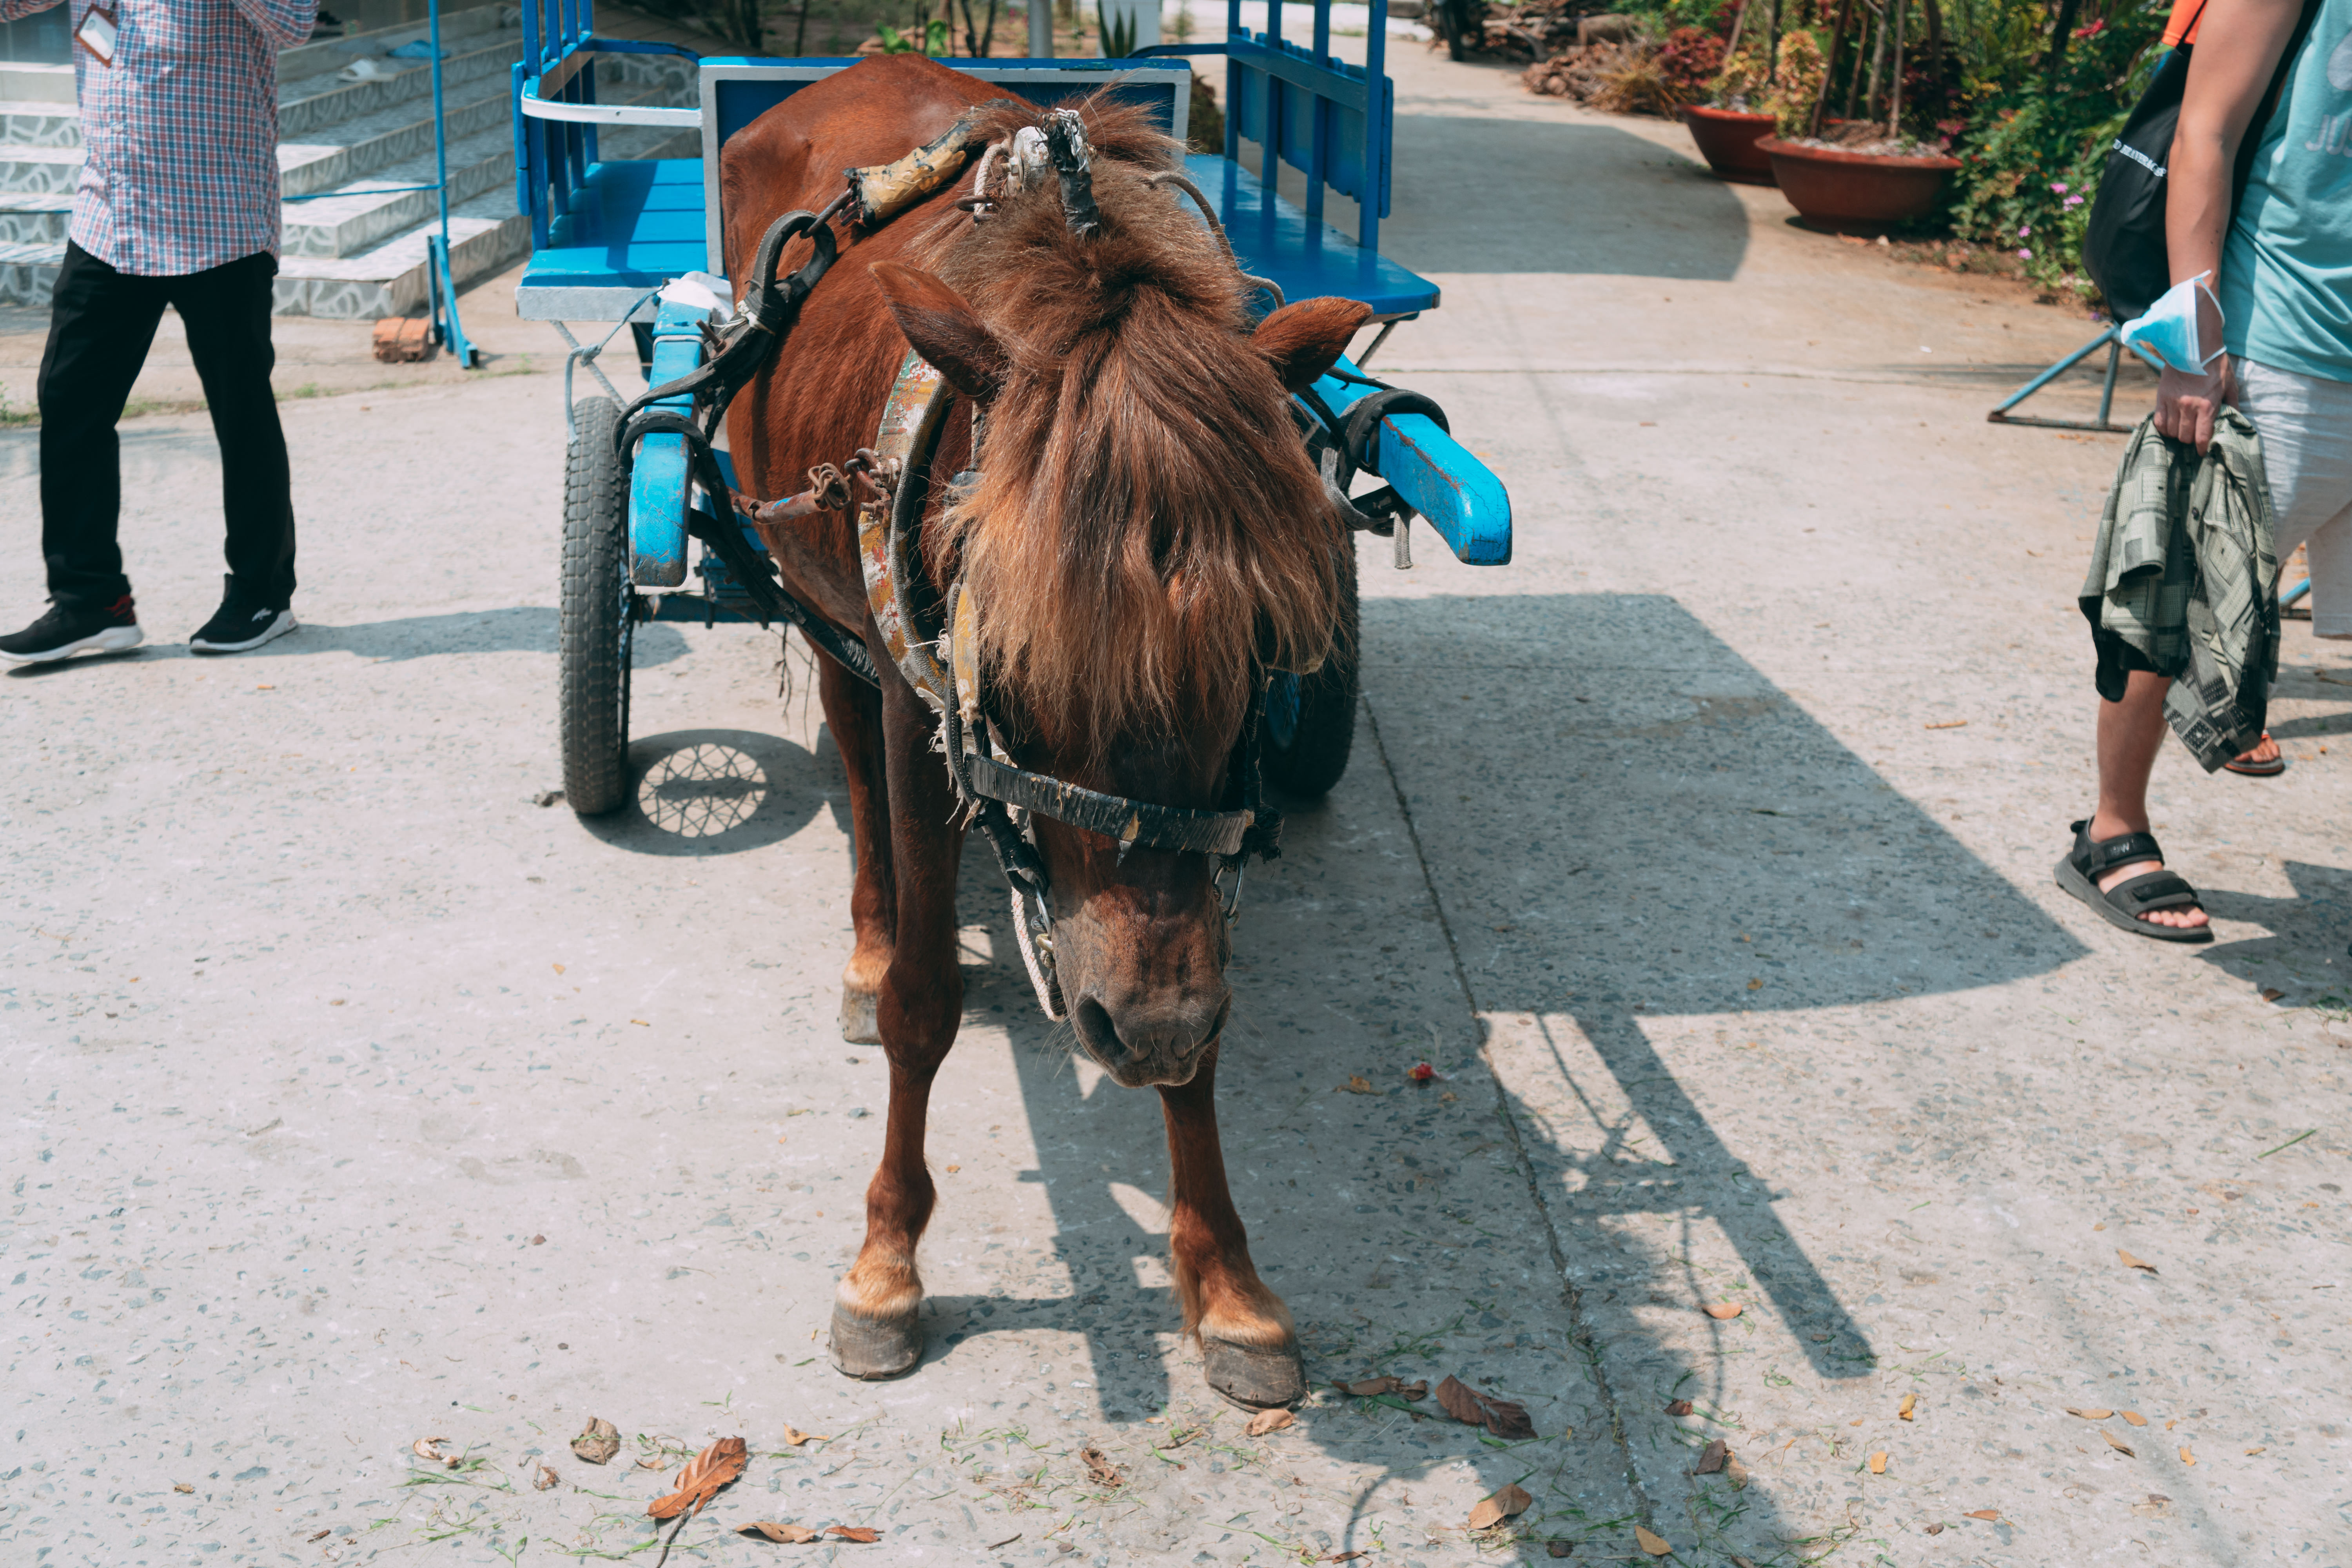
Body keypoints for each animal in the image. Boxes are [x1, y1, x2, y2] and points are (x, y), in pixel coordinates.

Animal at [724, 58, 1374, 1410]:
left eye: (1261, 660)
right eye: (1016, 678)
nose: (1148, 1025)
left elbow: (1205, 1026)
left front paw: (1226, 1283)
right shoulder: (927, 716)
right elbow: (922, 1005)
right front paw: (886, 1264)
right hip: (812, 591)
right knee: (849, 749)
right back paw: (867, 939)